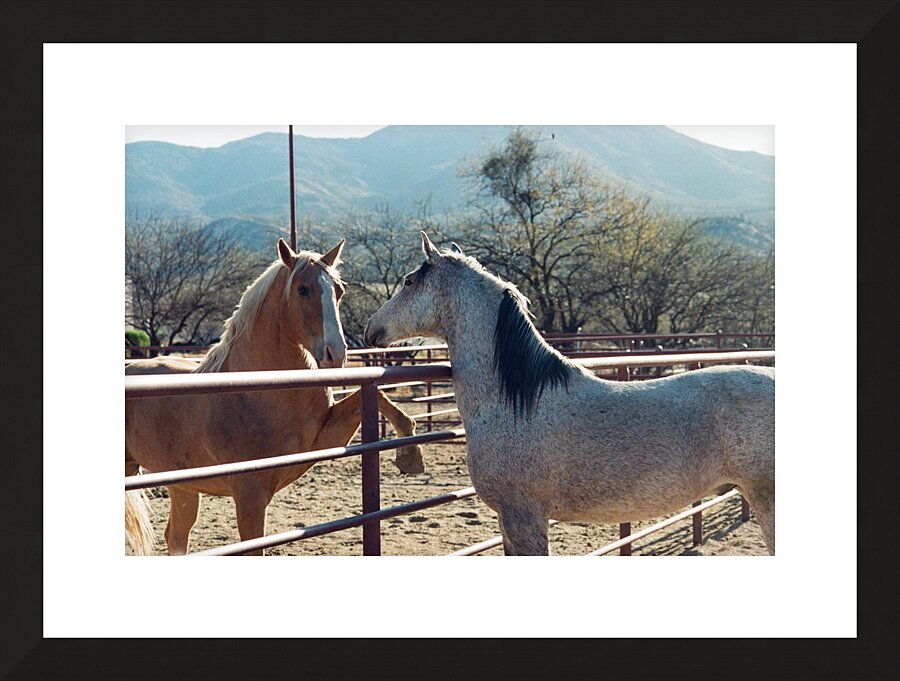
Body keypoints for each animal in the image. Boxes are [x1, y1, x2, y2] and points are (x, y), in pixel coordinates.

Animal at [126, 238, 424, 556]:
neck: (257, 392)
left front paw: (411, 455)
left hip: (182, 487)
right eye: (302, 289)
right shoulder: (250, 495)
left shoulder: (324, 437)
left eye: (339, 290)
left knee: (177, 536)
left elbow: (373, 397)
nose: (336, 353)